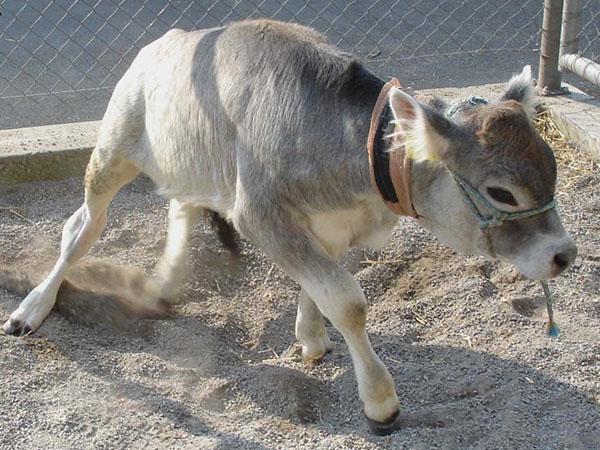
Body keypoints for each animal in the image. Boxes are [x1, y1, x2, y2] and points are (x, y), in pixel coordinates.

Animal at [3, 19, 576, 434]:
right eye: (502, 192)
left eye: (551, 168)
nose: (564, 254)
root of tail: (166, 41)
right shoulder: (260, 215)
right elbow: (347, 300)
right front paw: (381, 403)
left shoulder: (331, 227)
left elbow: (321, 288)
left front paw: (311, 338)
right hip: (112, 150)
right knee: (81, 228)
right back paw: (31, 308)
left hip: (193, 160)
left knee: (181, 206)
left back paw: (164, 282)